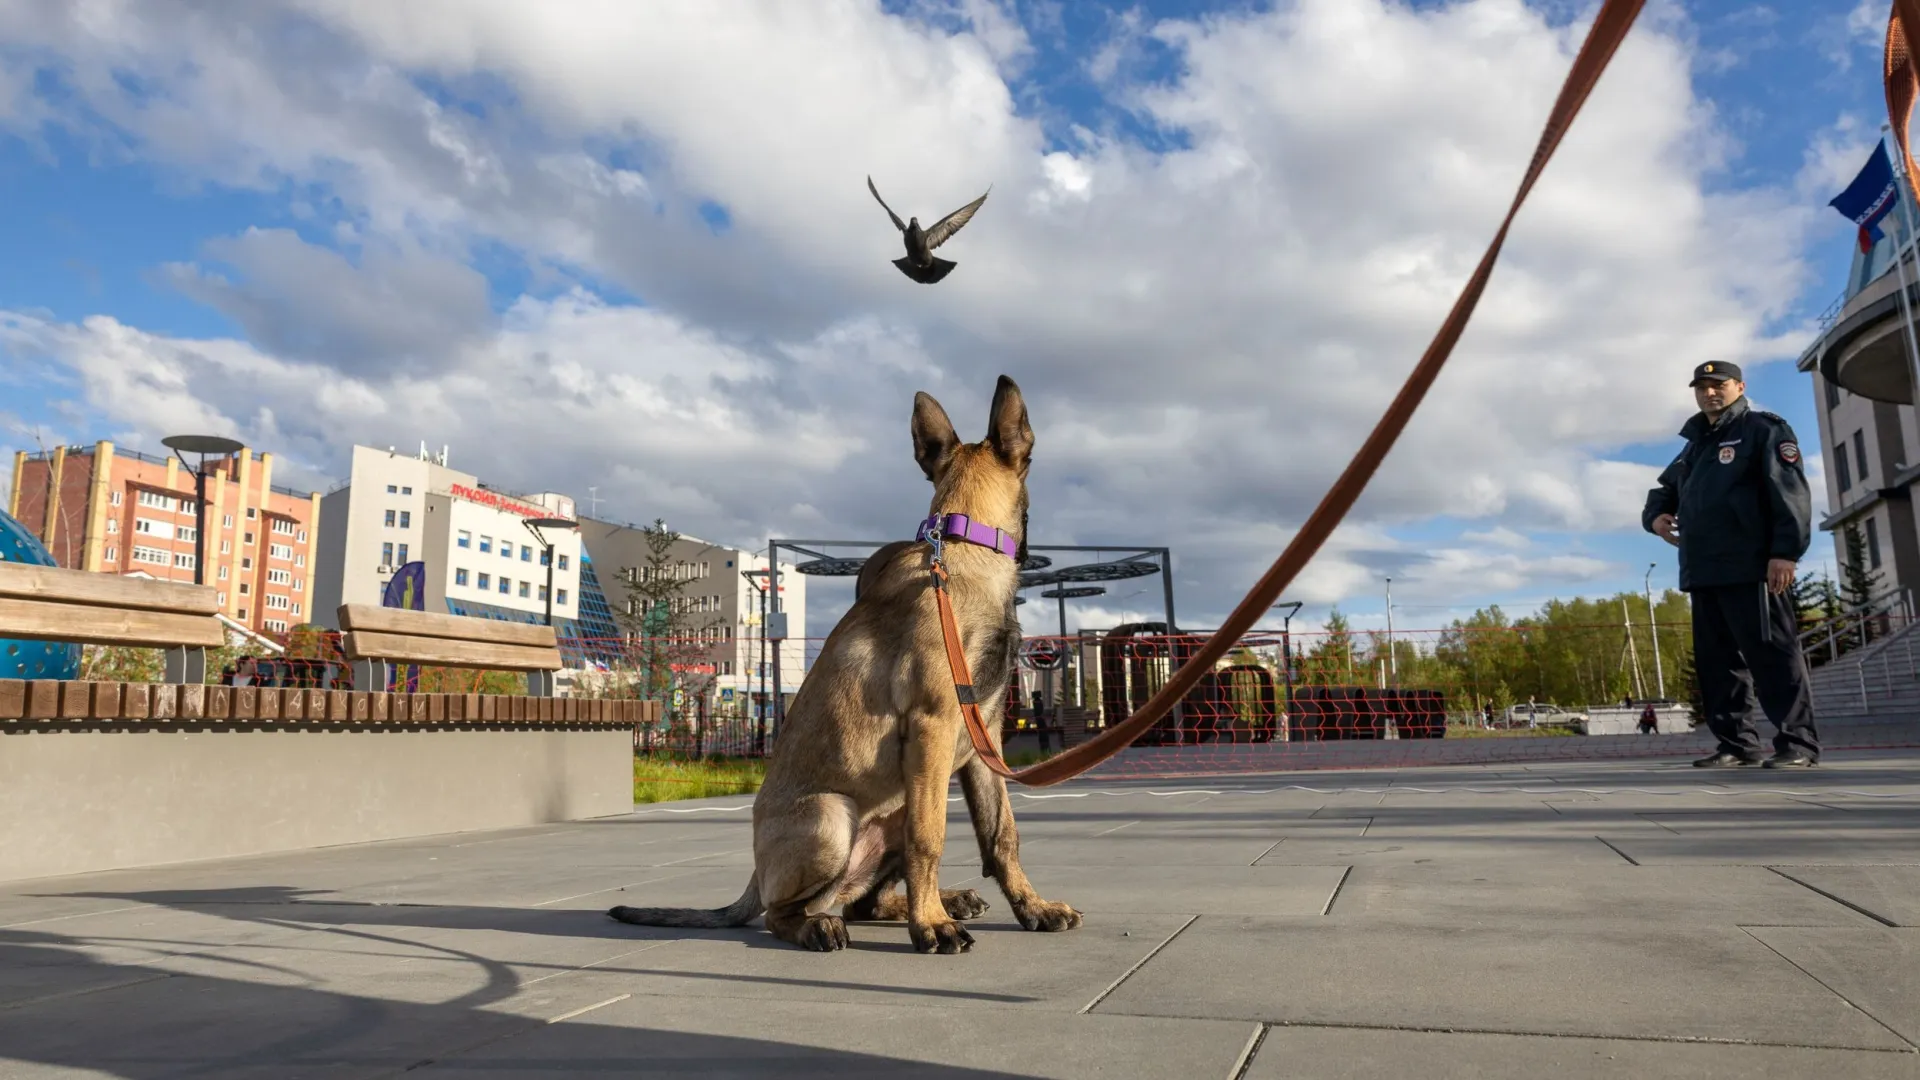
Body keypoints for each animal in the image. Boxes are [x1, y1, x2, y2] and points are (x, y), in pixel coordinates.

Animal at [610, 376, 1082, 949]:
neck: (962, 547)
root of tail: (755, 876)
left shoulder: (983, 738)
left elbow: (1002, 836)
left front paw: (1033, 908)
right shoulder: (933, 727)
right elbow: (930, 838)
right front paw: (930, 927)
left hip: (894, 806)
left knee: (866, 902)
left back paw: (946, 900)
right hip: (835, 816)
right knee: (786, 913)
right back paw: (832, 926)